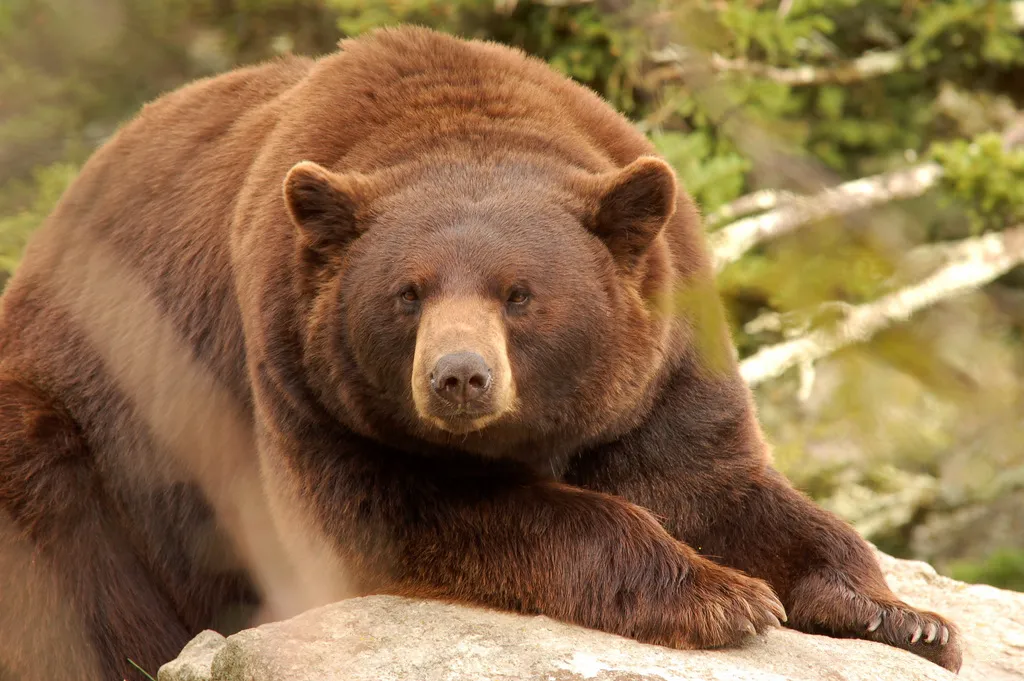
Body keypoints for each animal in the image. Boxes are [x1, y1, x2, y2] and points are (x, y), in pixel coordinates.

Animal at [0, 23, 958, 675]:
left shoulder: (665, 357)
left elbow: (716, 483)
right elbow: (418, 515)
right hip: (89, 426)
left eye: (519, 294)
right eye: (408, 293)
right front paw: (721, 594)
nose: (458, 376)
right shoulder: (295, 375)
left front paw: (903, 614)